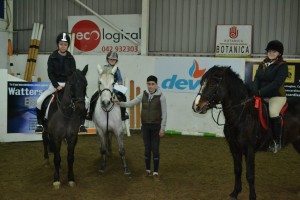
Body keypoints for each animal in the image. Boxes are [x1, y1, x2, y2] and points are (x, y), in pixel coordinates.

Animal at [192, 65, 300, 198]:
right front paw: (235, 192)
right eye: (202, 83)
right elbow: (238, 170)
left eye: (213, 83)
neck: (240, 115)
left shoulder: (249, 149)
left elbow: (250, 174)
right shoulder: (234, 148)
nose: (196, 106)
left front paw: (252, 196)